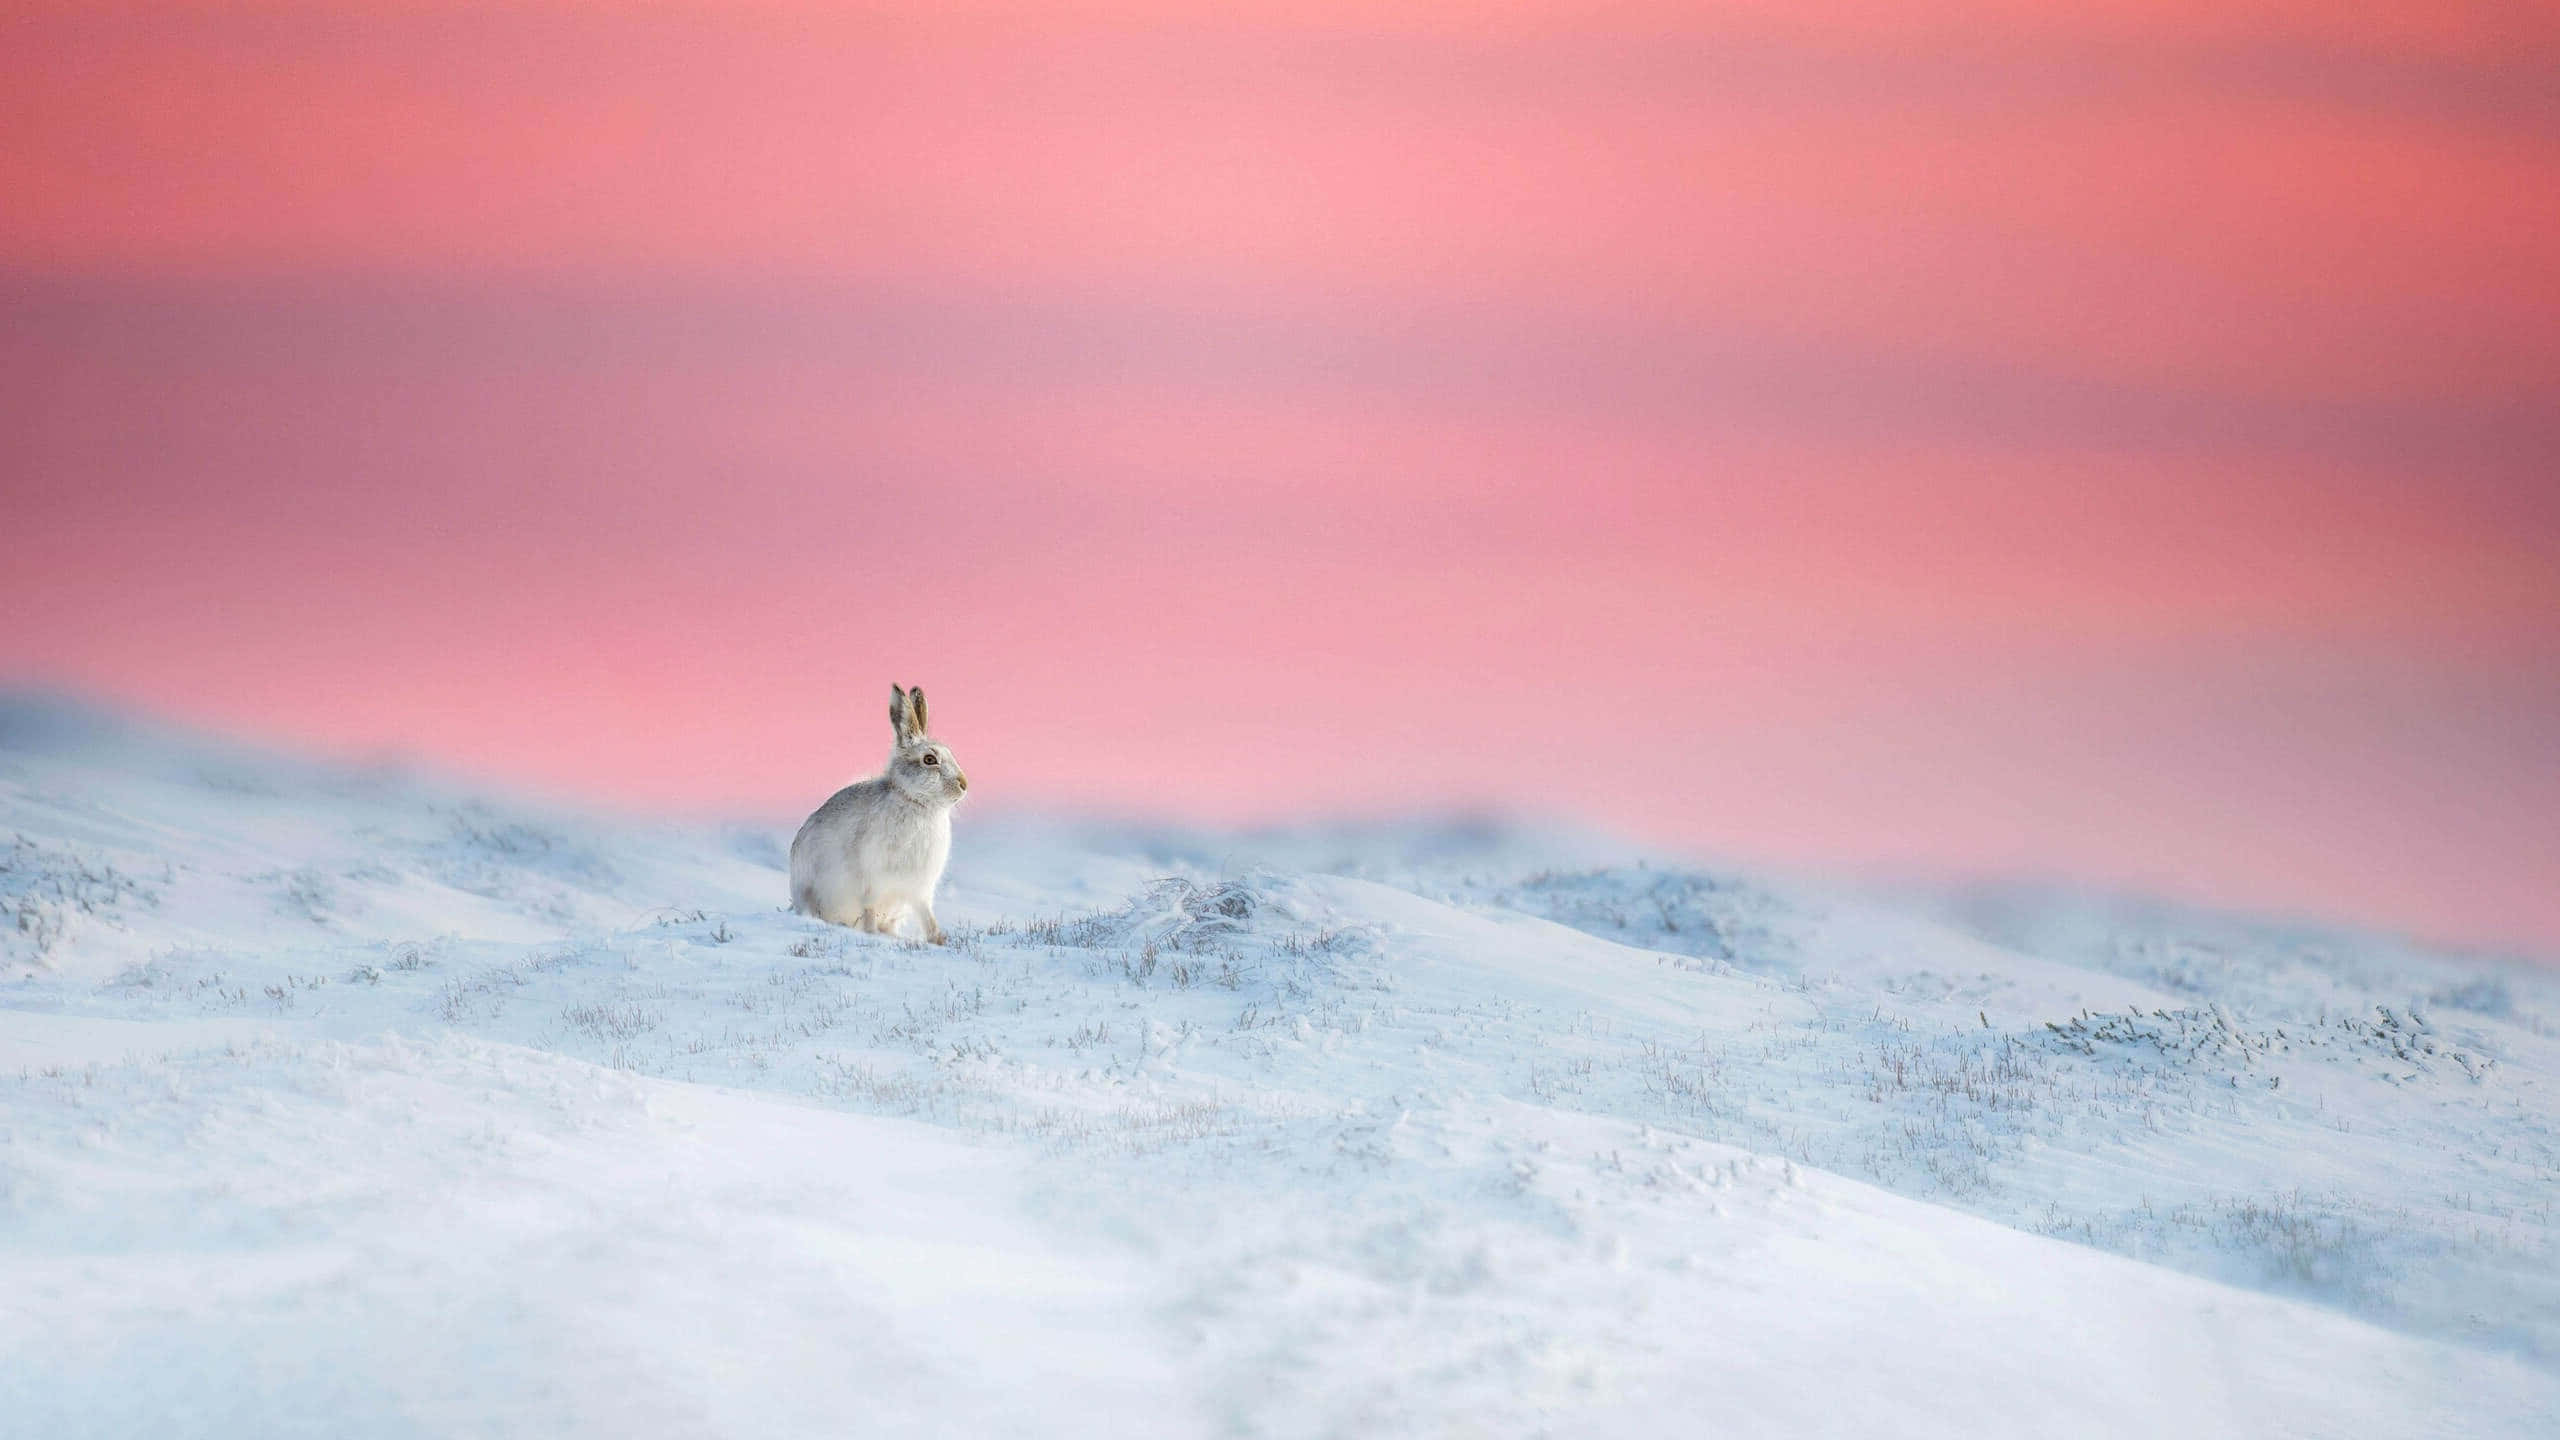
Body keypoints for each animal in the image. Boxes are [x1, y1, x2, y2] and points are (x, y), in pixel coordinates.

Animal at [789, 684, 969, 943]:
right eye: (929, 759)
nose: (964, 784)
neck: (916, 802)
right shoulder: (872, 884)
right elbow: (870, 911)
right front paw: (872, 934)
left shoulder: (919, 891)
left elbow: (927, 917)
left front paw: (939, 940)